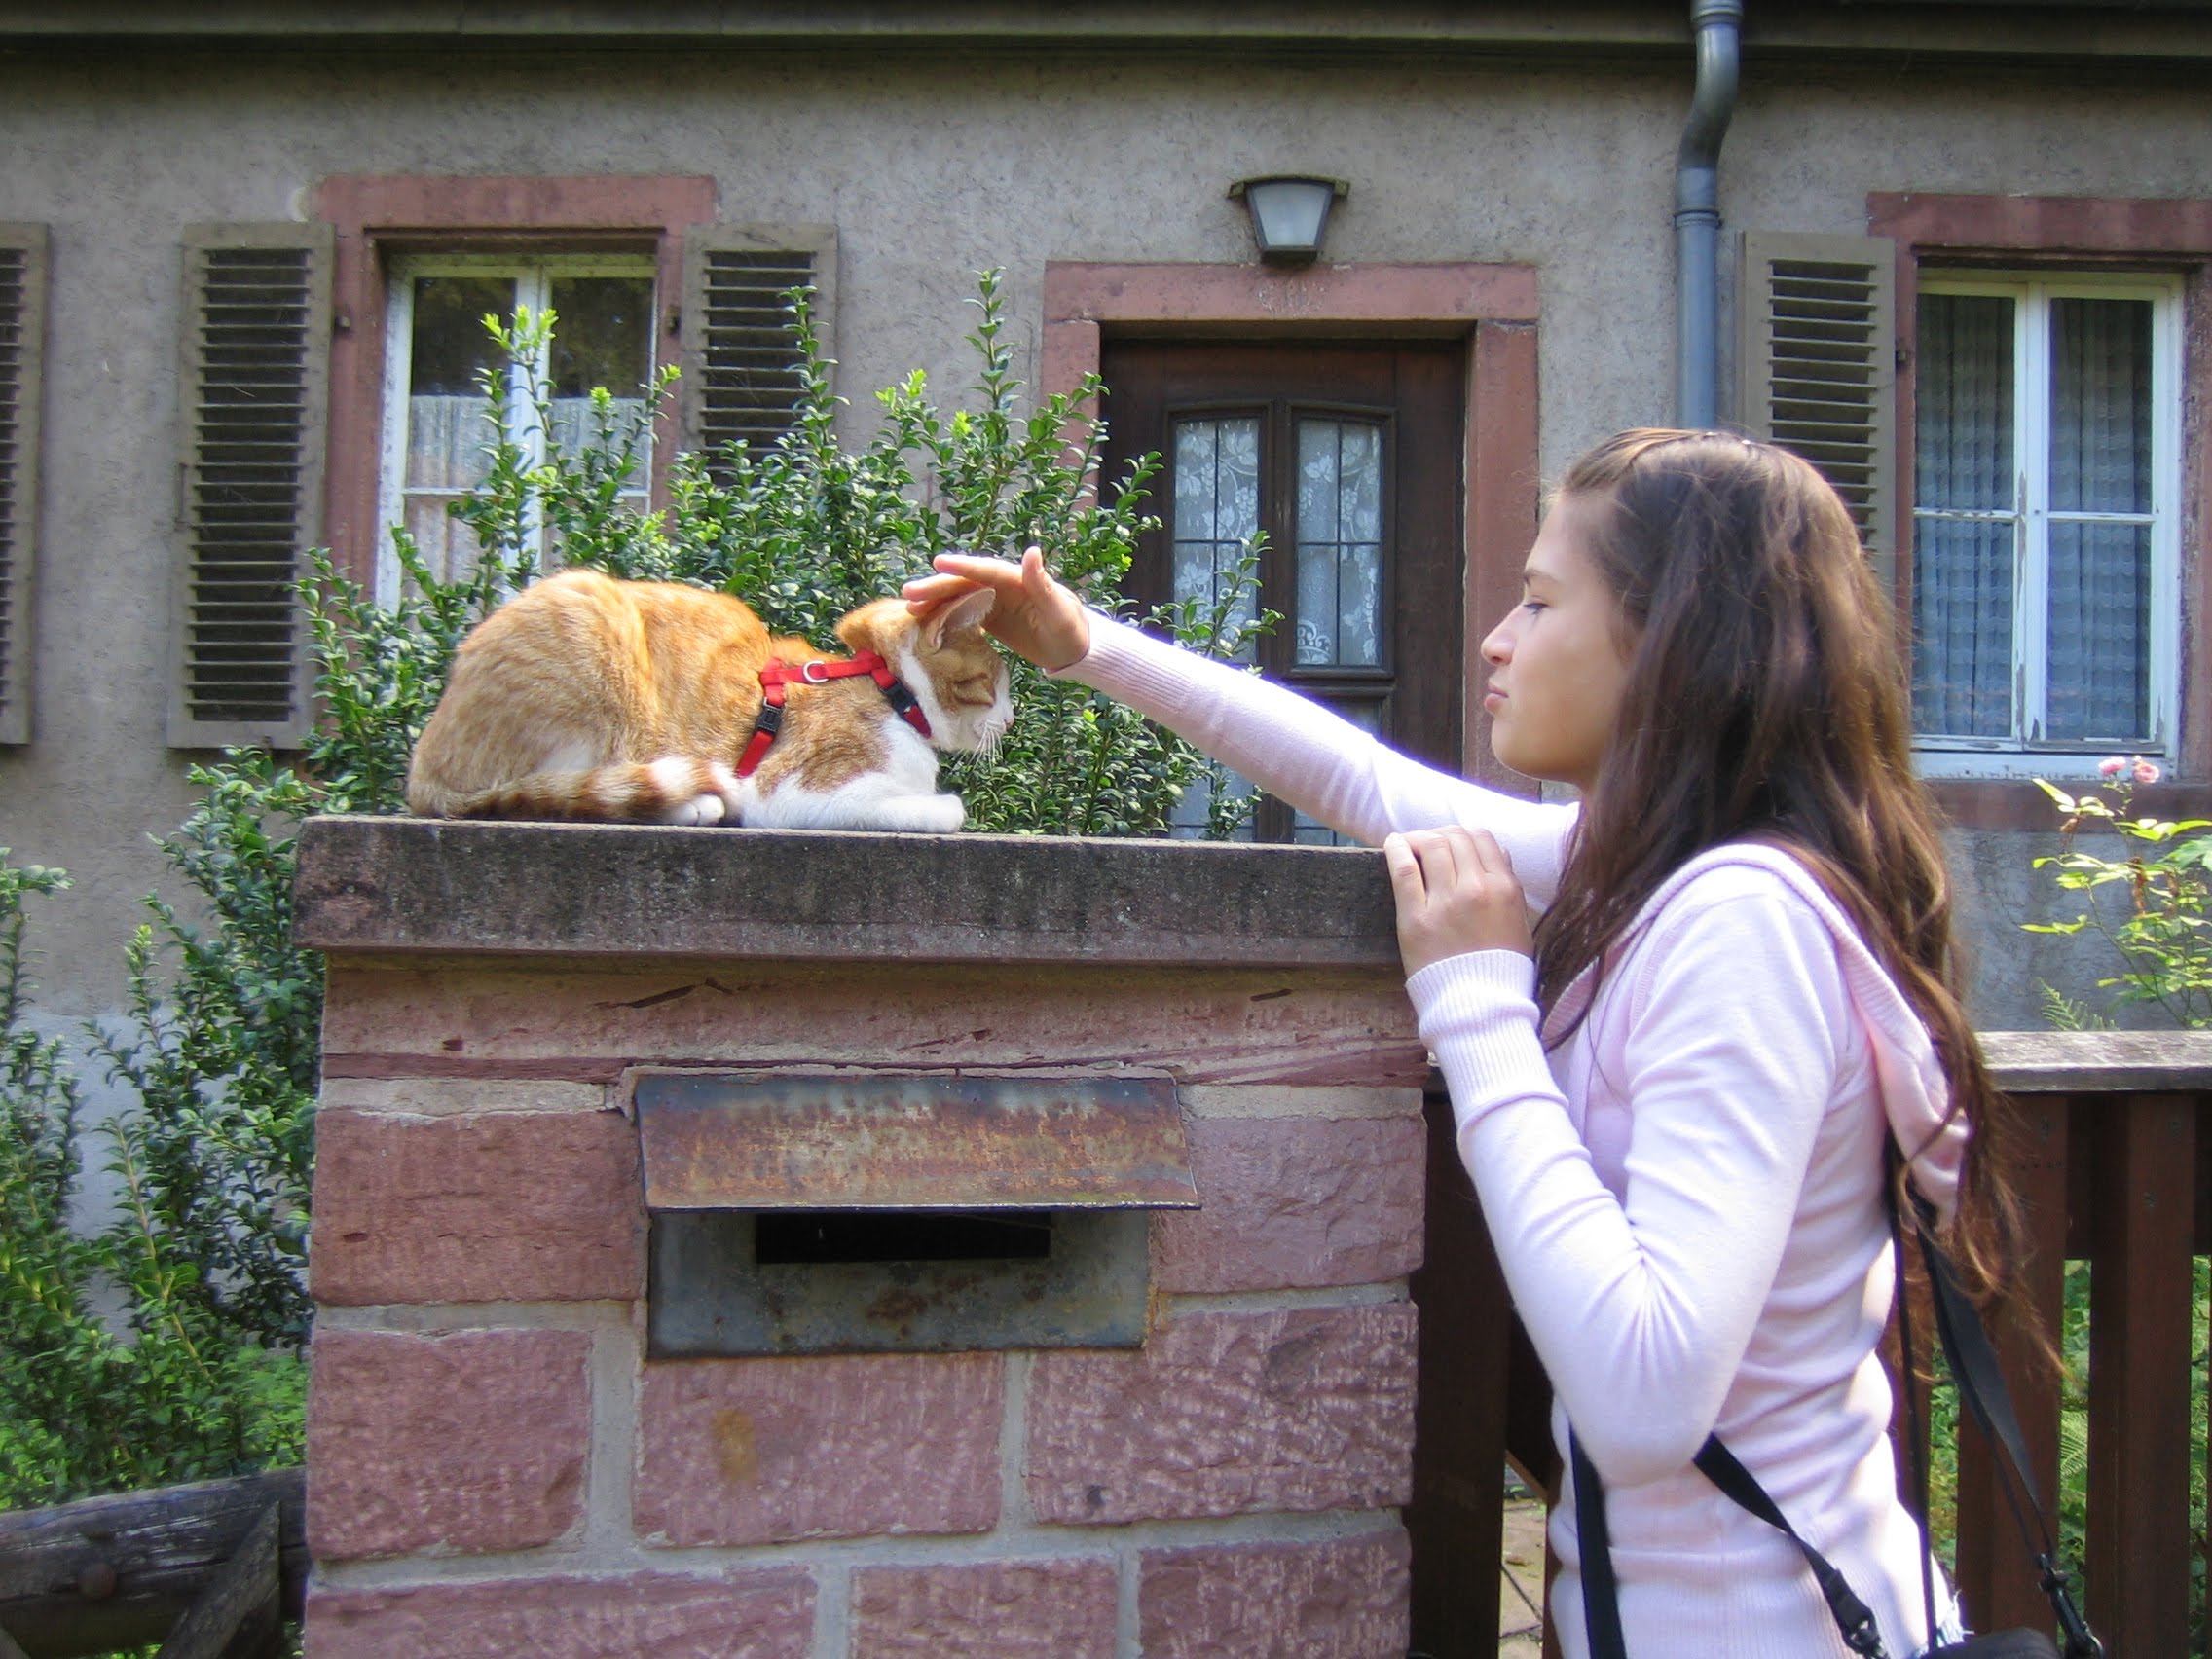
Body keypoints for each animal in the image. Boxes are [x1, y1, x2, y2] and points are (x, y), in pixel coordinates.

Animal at [404, 568, 1011, 833]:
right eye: (994, 681)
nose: (1009, 718)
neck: (889, 691)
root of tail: (422, 771)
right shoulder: (793, 793)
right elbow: (946, 809)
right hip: (594, 625)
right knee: (549, 794)